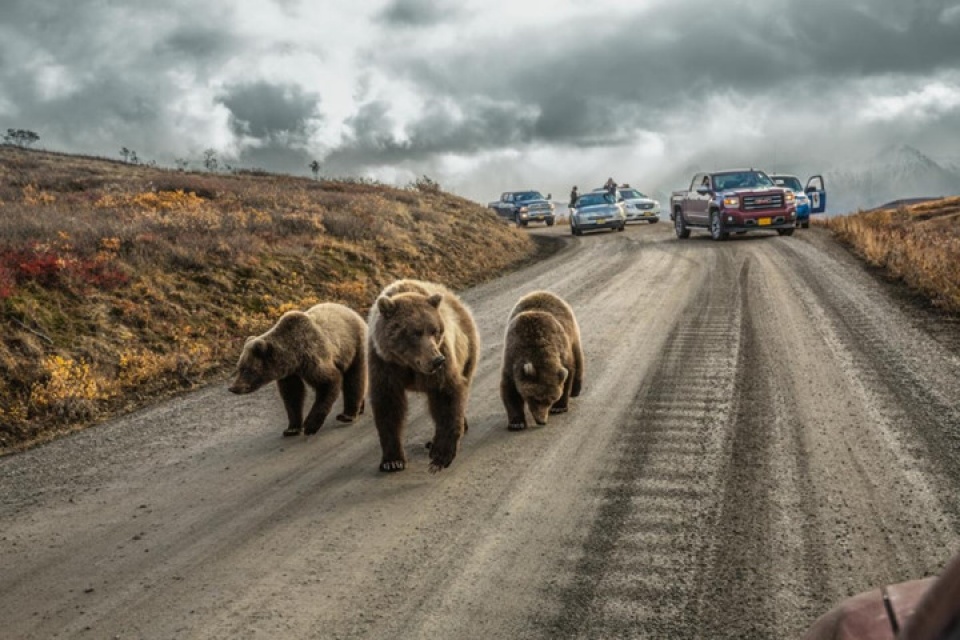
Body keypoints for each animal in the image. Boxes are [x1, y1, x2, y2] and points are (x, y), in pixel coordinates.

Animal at [229, 302, 368, 438]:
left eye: (247, 370)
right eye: (238, 368)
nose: (233, 388)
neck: (294, 356)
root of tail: (353, 312)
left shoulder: (313, 357)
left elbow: (328, 381)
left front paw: (310, 425)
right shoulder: (289, 373)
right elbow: (292, 395)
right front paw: (292, 428)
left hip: (354, 346)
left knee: (355, 378)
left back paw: (348, 415)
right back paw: (360, 408)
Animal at [368, 278, 480, 470]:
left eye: (434, 330)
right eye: (415, 332)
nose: (437, 360)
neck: (408, 364)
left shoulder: (443, 358)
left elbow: (446, 395)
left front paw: (441, 455)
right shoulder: (384, 364)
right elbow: (388, 406)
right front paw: (392, 461)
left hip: (467, 348)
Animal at [498, 290, 580, 430]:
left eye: (551, 400)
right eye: (535, 399)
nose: (542, 421)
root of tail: (541, 291)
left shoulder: (563, 352)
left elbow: (567, 373)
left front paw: (559, 407)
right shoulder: (511, 359)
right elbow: (510, 390)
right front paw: (516, 423)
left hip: (571, 332)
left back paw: (576, 389)